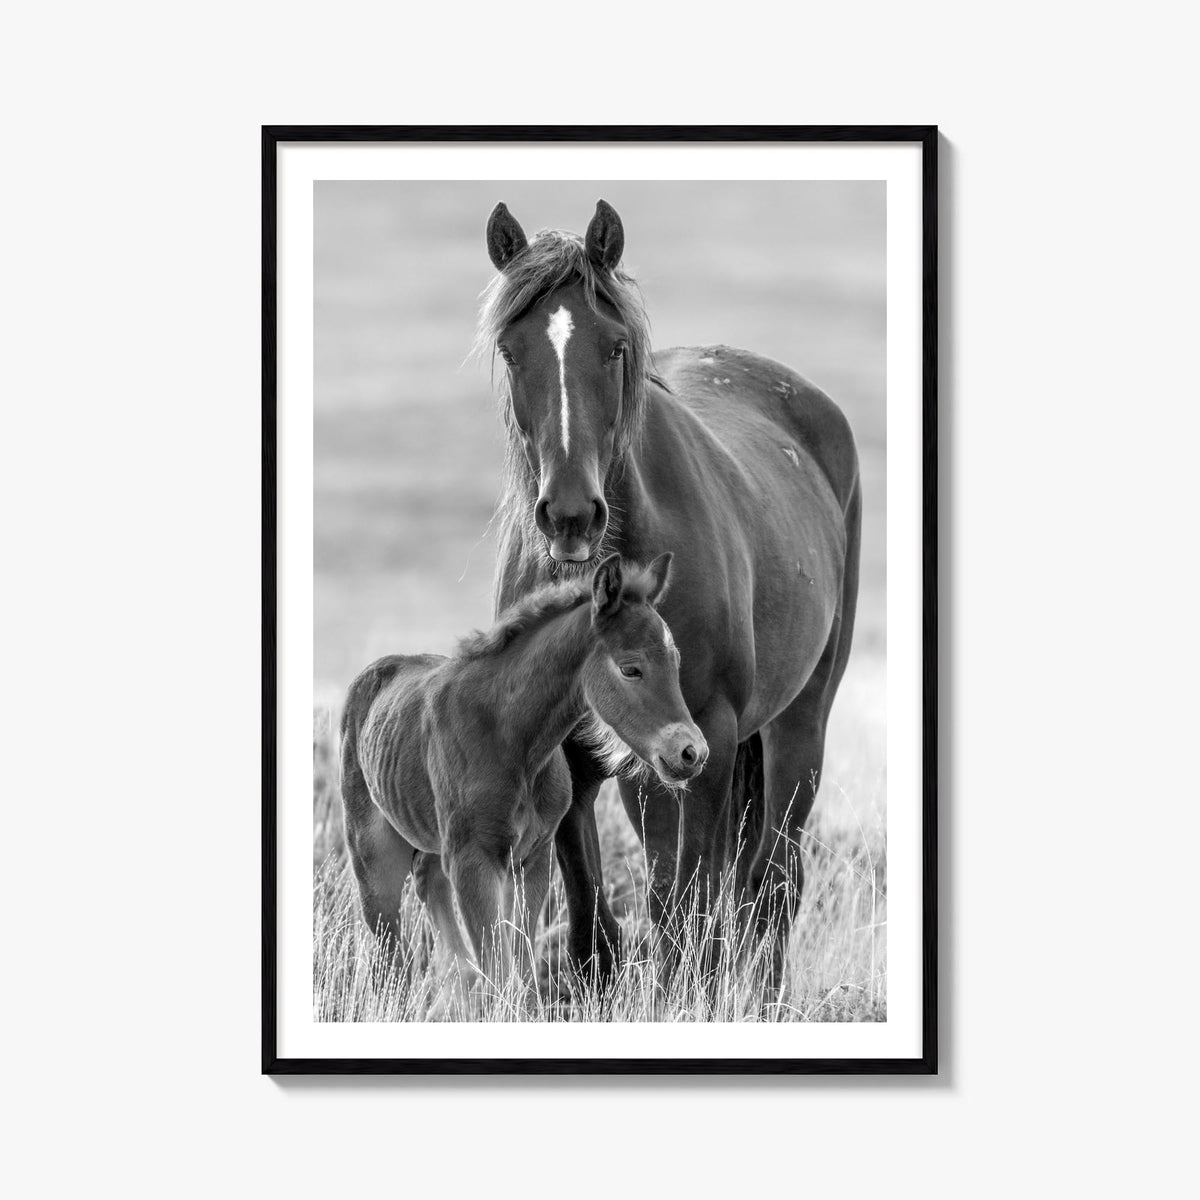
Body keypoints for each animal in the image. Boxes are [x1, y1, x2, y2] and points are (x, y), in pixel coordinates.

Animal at [339, 553, 705, 1004]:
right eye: (631, 669)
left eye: (675, 663)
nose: (691, 753)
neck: (513, 741)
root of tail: (372, 675)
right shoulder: (473, 860)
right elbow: (500, 973)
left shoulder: (532, 858)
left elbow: (522, 973)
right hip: (372, 853)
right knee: (390, 944)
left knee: (431, 890)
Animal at [476, 199, 862, 982]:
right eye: (511, 350)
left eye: (615, 347)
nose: (570, 514)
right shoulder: (570, 759)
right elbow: (594, 923)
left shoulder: (701, 739)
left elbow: (687, 913)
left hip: (795, 727)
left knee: (771, 884)